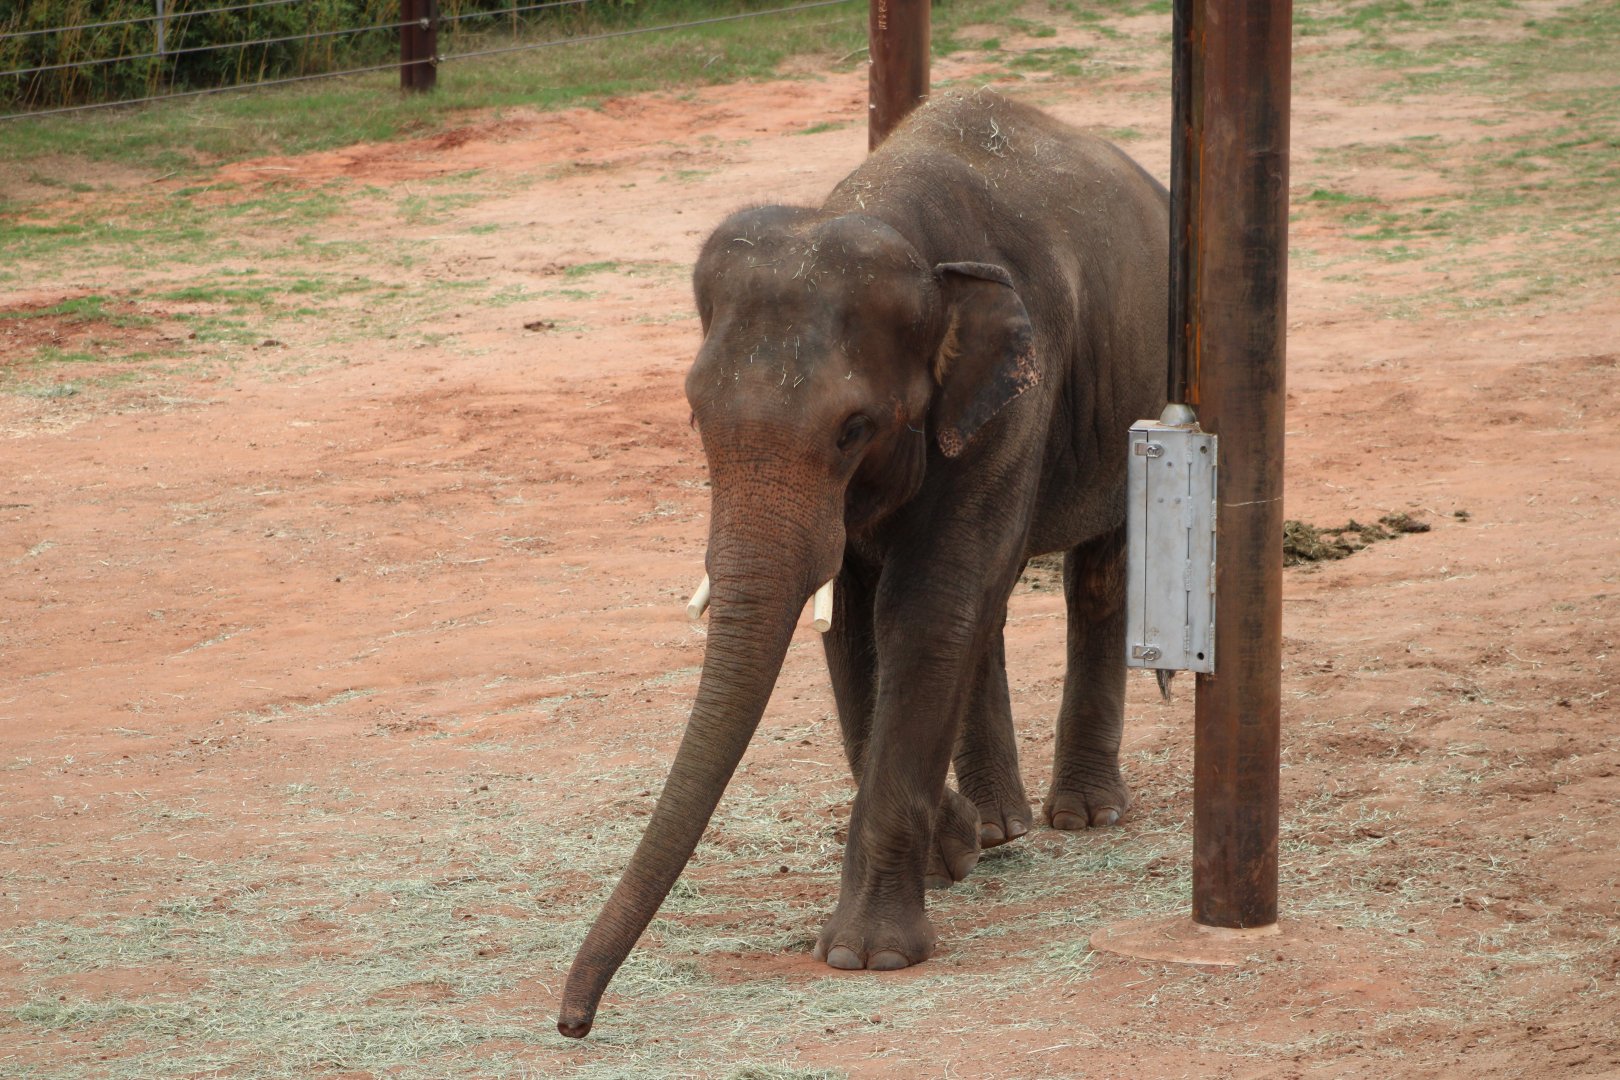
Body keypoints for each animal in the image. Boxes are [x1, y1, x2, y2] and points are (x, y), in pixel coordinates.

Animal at [558, 88, 1168, 1038]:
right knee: (992, 605)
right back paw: (1002, 828)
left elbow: (926, 608)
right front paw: (955, 847)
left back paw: (1084, 816)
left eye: (853, 429)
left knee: (1096, 569)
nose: (572, 1022)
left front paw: (867, 956)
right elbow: (855, 623)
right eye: (694, 415)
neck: (886, 215)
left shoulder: (1018, 398)